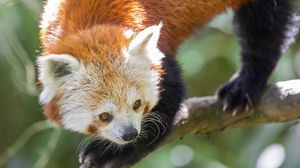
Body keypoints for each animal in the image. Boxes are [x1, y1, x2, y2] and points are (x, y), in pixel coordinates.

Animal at [38, 0, 298, 167]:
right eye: (104, 116)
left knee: (265, 27)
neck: (89, 25)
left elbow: (166, 108)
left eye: (137, 104)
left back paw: (245, 84)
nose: (129, 134)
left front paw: (110, 153)